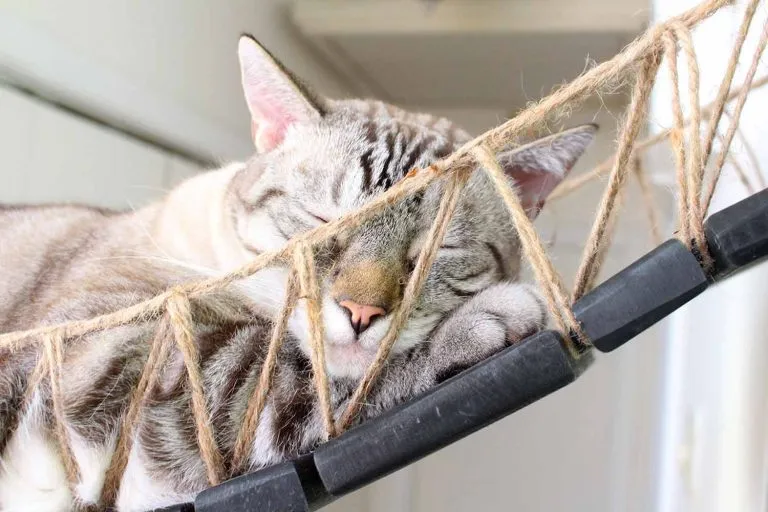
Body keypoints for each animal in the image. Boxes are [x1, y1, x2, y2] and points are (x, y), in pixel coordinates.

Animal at [0, 34, 596, 510]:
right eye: (321, 222)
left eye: (436, 249)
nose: (361, 311)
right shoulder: (125, 360)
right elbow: (316, 383)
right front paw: (490, 316)